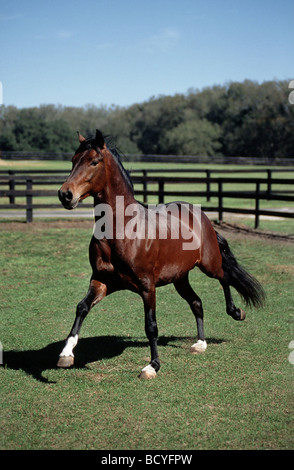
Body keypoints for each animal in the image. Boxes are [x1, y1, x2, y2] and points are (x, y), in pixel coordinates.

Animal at [56, 129, 264, 378]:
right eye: (73, 160)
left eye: (94, 162)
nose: (65, 195)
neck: (123, 228)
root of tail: (201, 215)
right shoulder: (101, 281)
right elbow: (82, 307)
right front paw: (66, 354)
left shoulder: (147, 286)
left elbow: (151, 326)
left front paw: (152, 366)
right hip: (180, 277)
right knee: (197, 302)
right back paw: (200, 343)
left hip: (209, 265)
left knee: (226, 277)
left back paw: (236, 312)